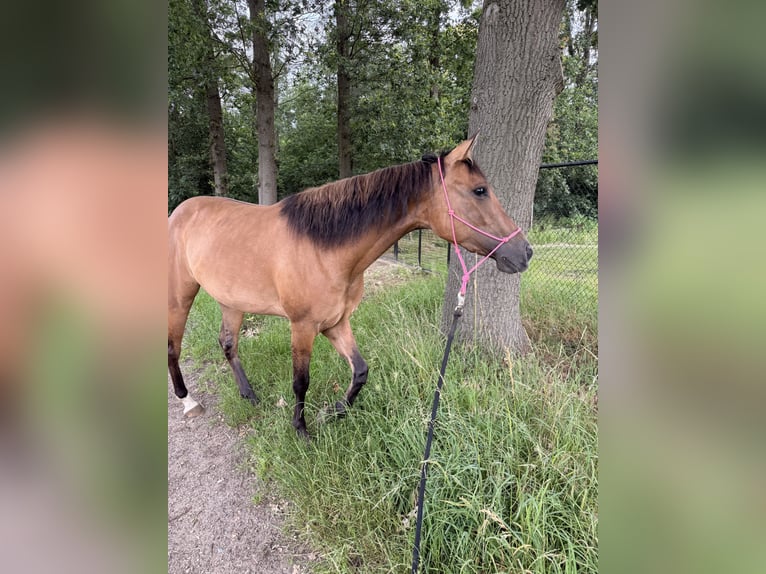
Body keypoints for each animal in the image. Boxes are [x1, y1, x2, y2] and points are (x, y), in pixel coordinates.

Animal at [168, 135, 533, 439]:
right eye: (480, 190)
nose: (524, 252)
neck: (324, 248)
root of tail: (180, 211)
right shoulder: (303, 327)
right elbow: (301, 382)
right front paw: (301, 430)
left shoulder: (336, 323)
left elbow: (360, 371)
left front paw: (334, 412)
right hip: (180, 295)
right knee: (174, 346)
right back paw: (187, 401)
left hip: (232, 301)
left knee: (228, 344)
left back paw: (248, 393)